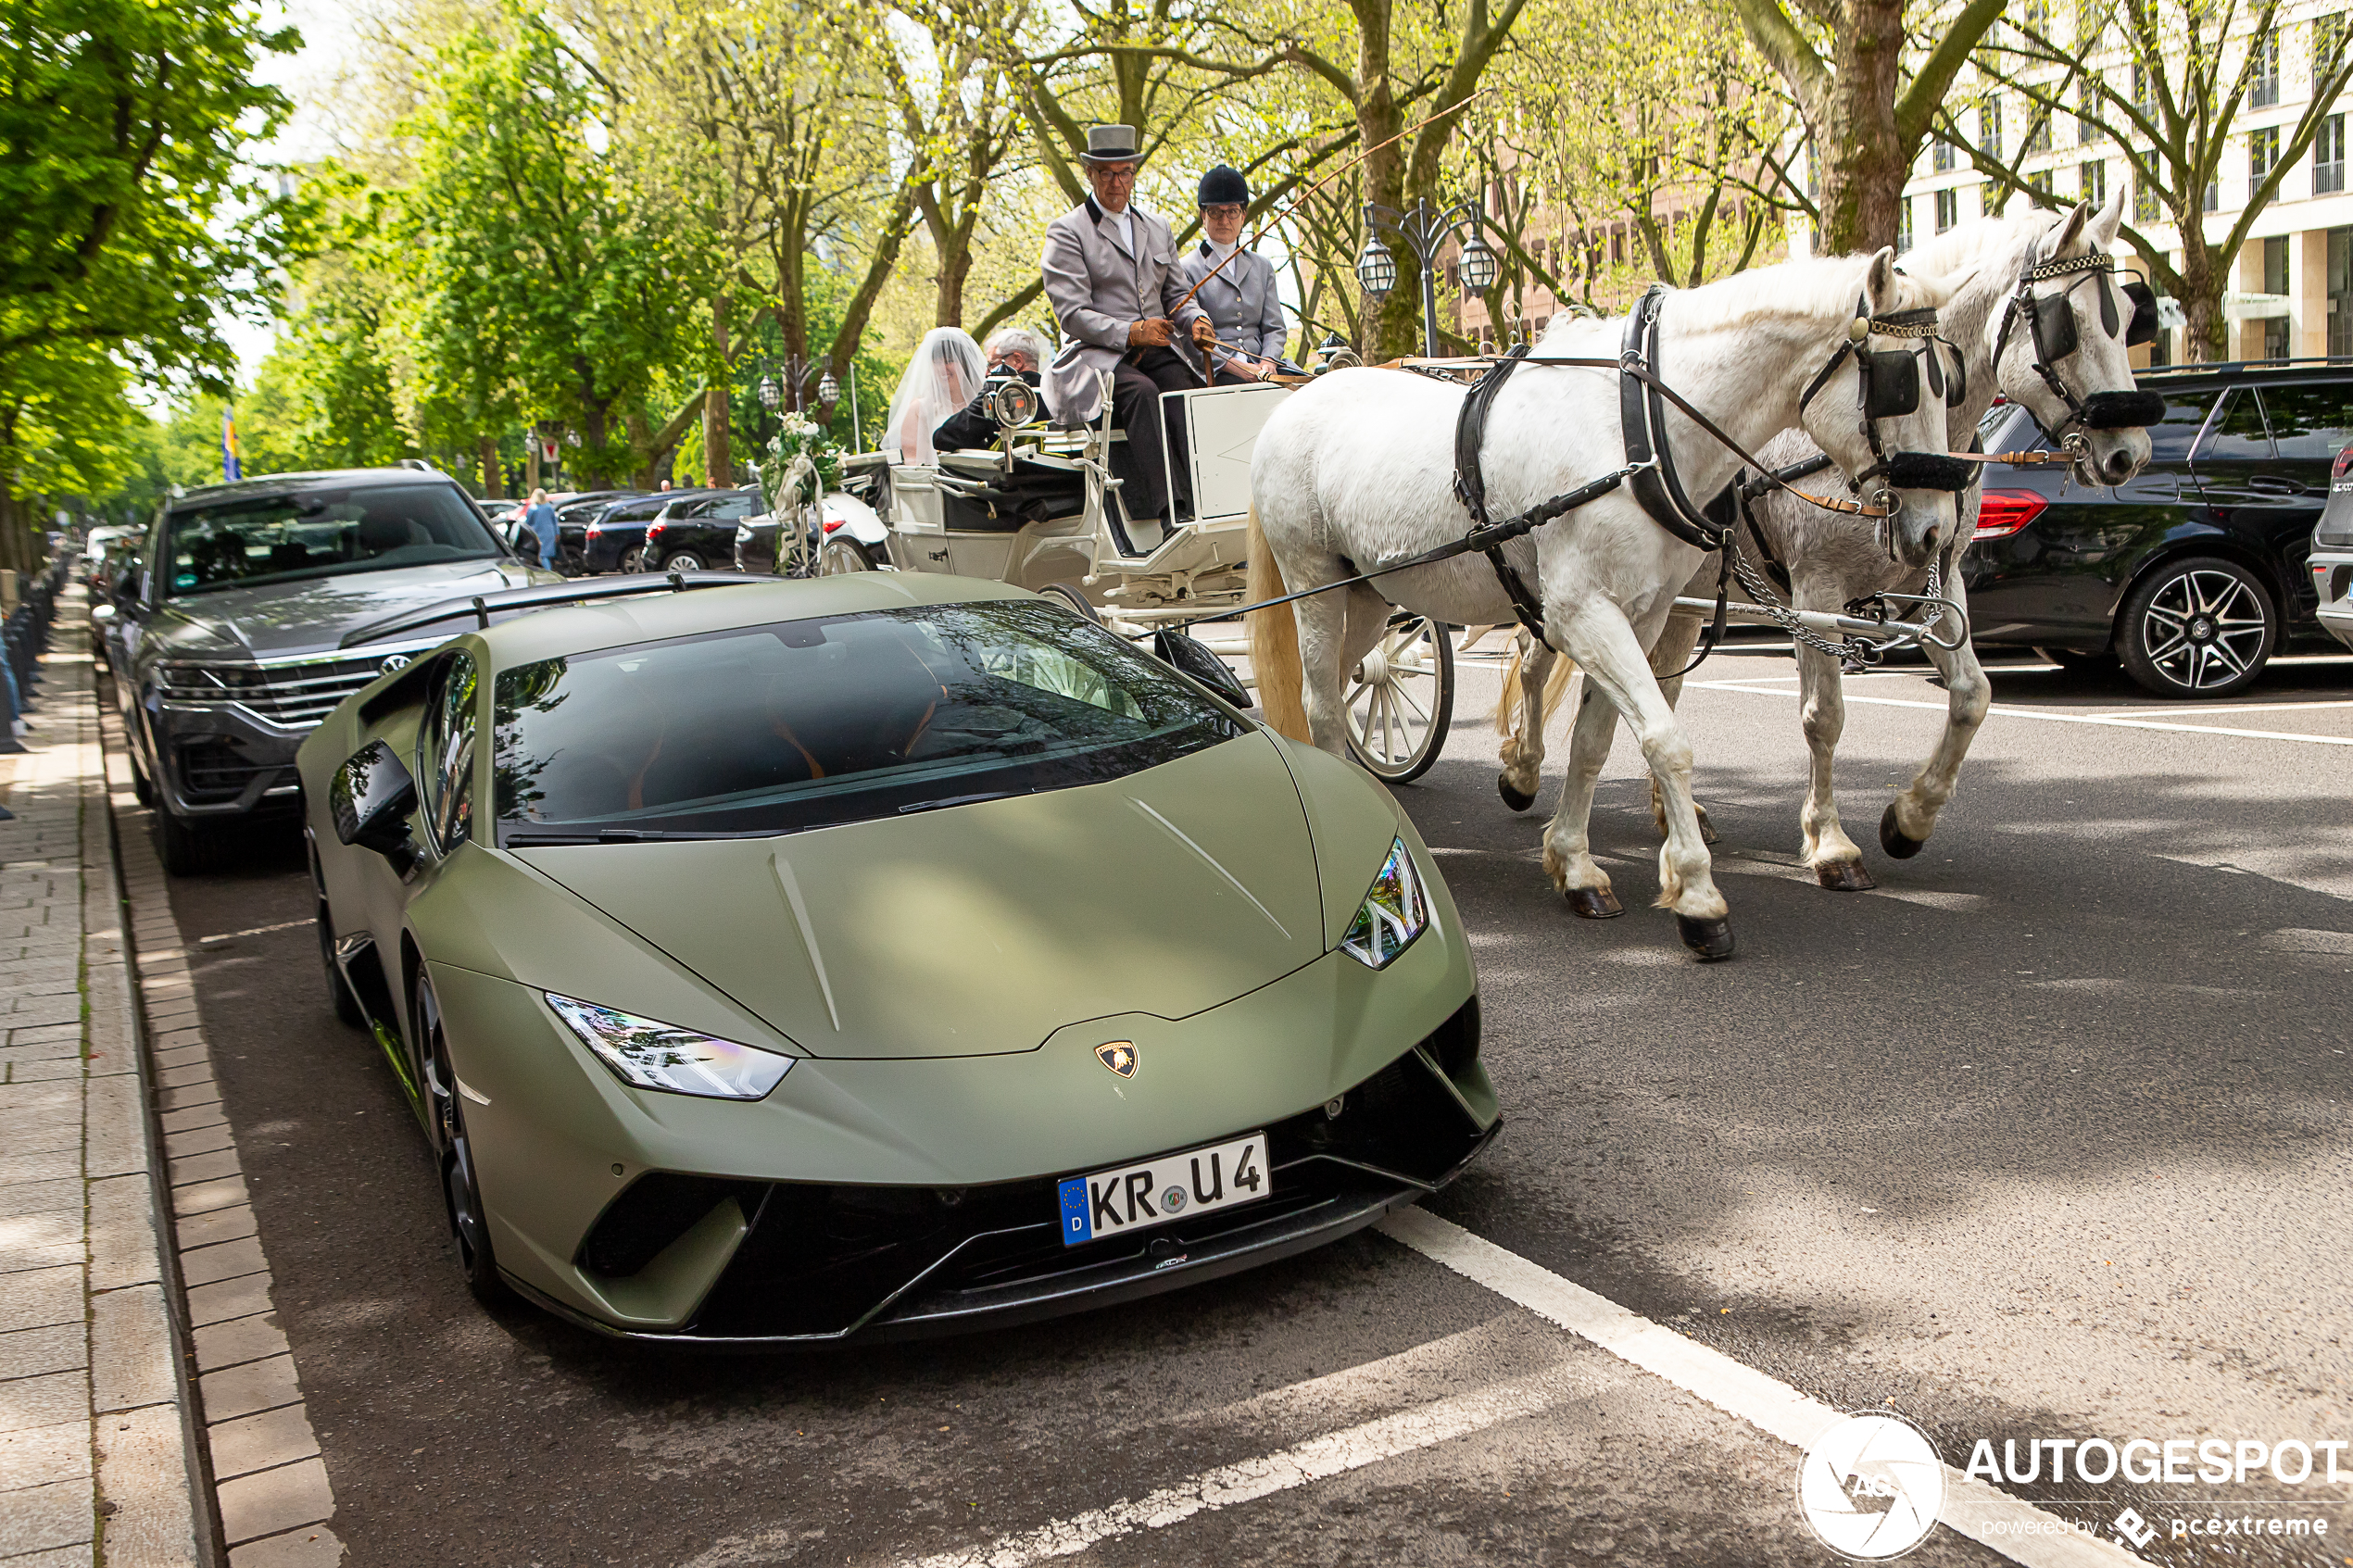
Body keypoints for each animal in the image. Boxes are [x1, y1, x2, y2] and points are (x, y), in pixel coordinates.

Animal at [1252, 247, 1967, 959]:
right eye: (1903, 381)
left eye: (1952, 381)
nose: (1937, 530)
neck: (1638, 430)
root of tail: (1297, 400)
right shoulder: (1583, 613)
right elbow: (1665, 739)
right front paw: (1699, 898)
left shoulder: (1642, 614)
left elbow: (1595, 742)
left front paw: (1575, 865)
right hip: (1312, 578)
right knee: (1322, 703)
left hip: (1368, 592)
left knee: (1345, 685)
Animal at [1496, 191, 2155, 888]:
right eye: (2067, 324)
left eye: (2127, 319)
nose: (2129, 453)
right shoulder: (1817, 589)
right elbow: (1825, 716)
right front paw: (1831, 841)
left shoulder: (1935, 579)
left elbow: (1973, 697)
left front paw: (1909, 819)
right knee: (1534, 657)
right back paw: (1523, 768)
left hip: (1679, 598)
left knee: (1662, 685)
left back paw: (1672, 810)